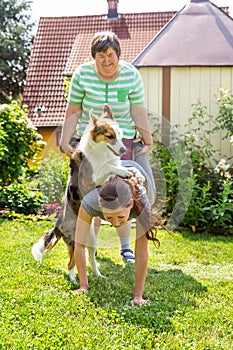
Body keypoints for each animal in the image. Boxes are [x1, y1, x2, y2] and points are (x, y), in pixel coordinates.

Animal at [31, 103, 132, 282]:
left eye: (120, 135)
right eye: (109, 136)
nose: (123, 149)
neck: (100, 152)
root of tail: (57, 225)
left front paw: (126, 171)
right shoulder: (90, 181)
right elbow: (108, 167)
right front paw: (122, 171)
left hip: (91, 240)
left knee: (90, 259)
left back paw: (99, 276)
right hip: (74, 241)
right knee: (71, 264)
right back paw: (73, 280)